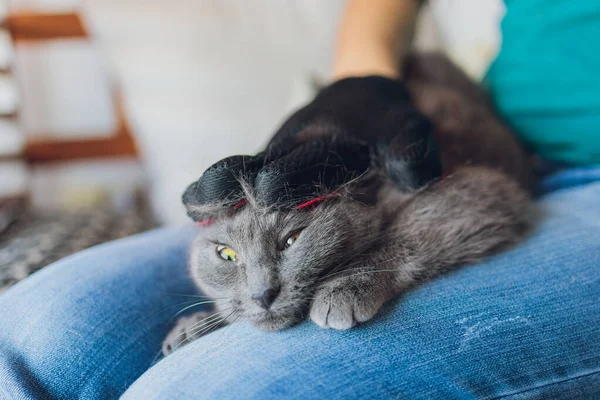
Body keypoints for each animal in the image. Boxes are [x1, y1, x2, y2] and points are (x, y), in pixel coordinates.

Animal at [162, 54, 532, 356]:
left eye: (292, 240)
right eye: (225, 254)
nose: (262, 295)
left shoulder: (475, 188)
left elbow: (403, 232)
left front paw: (342, 290)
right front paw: (195, 324)